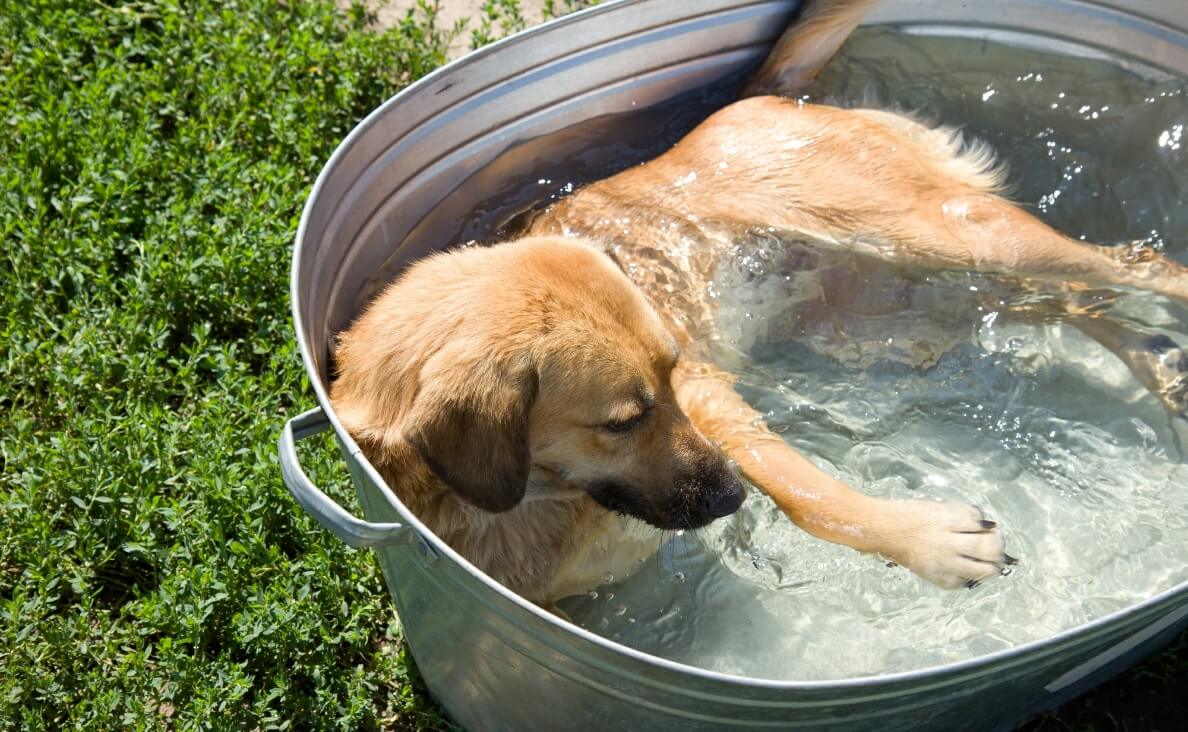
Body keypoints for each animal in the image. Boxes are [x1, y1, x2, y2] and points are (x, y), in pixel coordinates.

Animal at [330, 0, 1188, 606]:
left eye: (669, 376)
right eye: (621, 422)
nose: (730, 496)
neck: (536, 502)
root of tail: (759, 101)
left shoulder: (712, 404)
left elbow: (805, 491)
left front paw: (929, 542)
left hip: (946, 235)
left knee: (1135, 265)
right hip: (888, 313)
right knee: (1066, 301)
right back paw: (1159, 365)